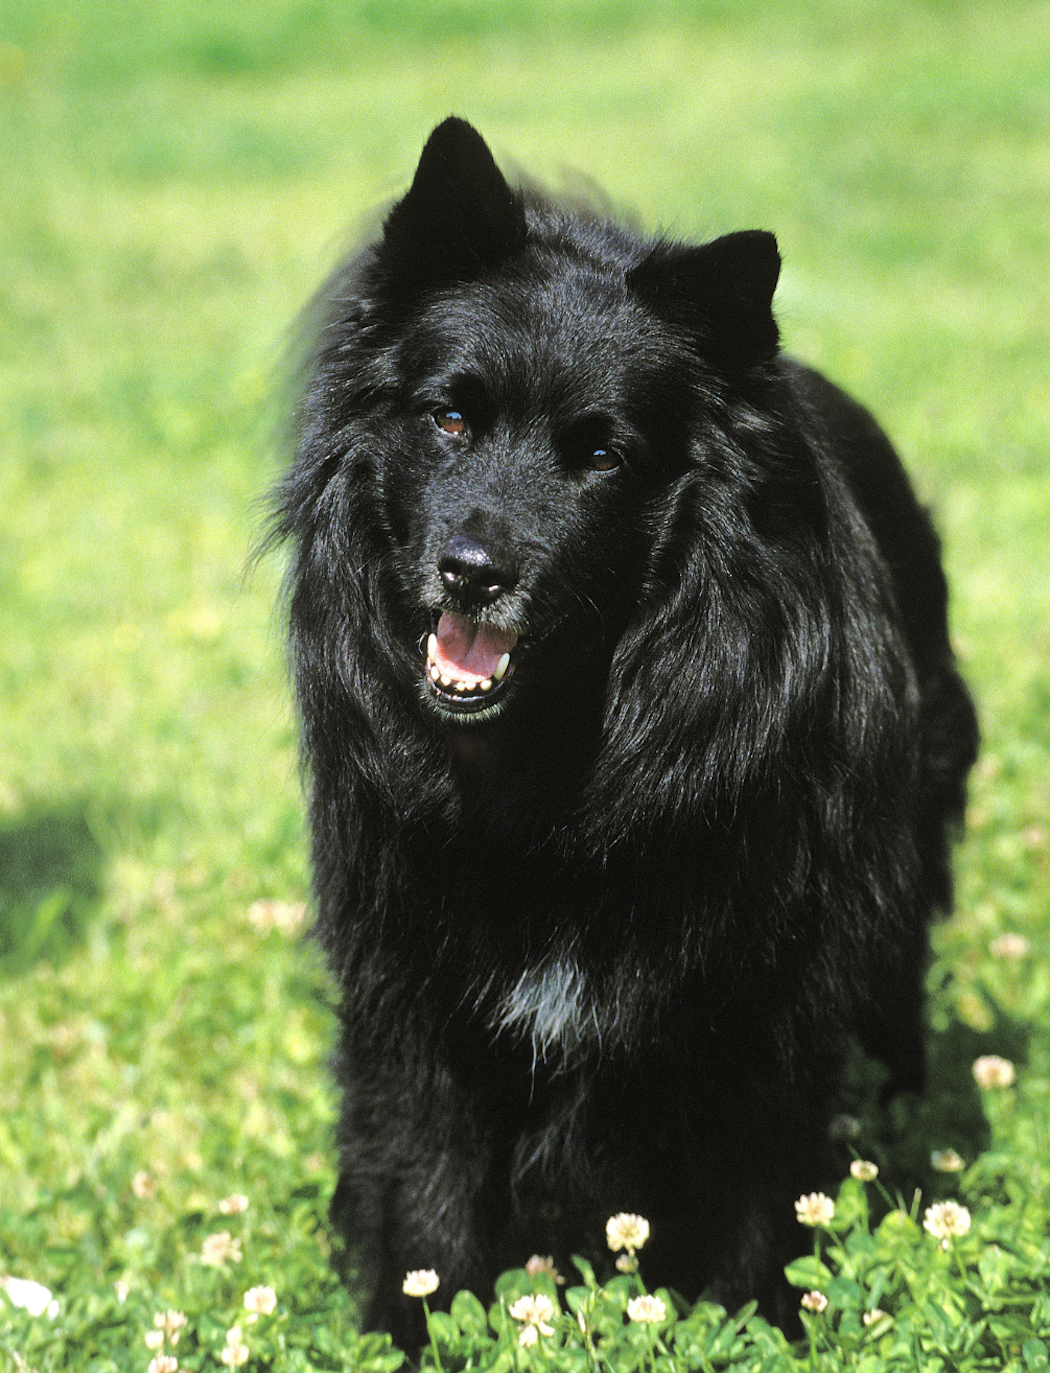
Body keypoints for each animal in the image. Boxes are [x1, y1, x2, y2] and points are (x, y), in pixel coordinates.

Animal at [267, 120, 977, 1351]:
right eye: (450, 416)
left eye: (601, 455)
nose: (472, 571)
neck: (560, 759)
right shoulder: (416, 999)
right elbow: (425, 1204)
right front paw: (417, 1333)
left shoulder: (760, 1006)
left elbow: (754, 1209)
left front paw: (756, 1332)